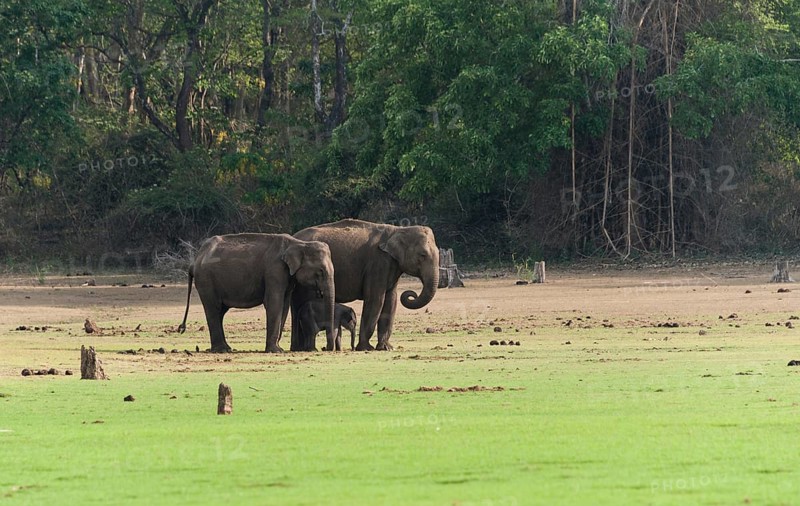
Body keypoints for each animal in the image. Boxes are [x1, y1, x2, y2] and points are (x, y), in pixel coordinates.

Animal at [178, 233, 335, 353]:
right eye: (320, 271)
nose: (326, 348)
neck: (299, 244)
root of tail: (195, 261)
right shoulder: (274, 271)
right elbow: (274, 303)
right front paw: (275, 351)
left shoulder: (287, 277)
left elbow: (284, 306)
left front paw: (278, 348)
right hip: (206, 281)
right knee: (213, 309)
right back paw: (222, 350)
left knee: (220, 312)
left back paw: (227, 348)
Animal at [290, 219, 439, 351]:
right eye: (422, 255)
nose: (411, 294)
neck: (398, 230)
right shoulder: (378, 264)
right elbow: (376, 299)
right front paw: (366, 348)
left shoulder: (392, 265)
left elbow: (391, 300)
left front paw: (386, 348)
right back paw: (304, 348)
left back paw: (298, 348)